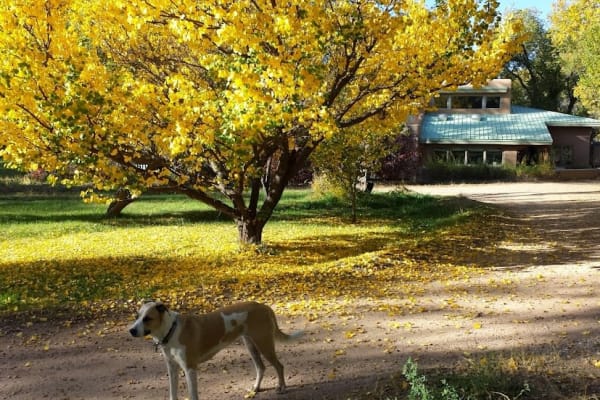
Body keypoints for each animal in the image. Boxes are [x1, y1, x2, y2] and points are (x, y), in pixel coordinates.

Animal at [128, 300, 302, 400]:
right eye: (136, 316)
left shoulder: (190, 368)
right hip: (251, 345)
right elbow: (172, 393)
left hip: (264, 344)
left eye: (147, 318)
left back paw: (282, 388)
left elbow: (193, 395)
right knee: (261, 367)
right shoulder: (172, 368)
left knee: (279, 366)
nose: (131, 330)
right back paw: (256, 388)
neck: (172, 330)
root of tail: (263, 306)